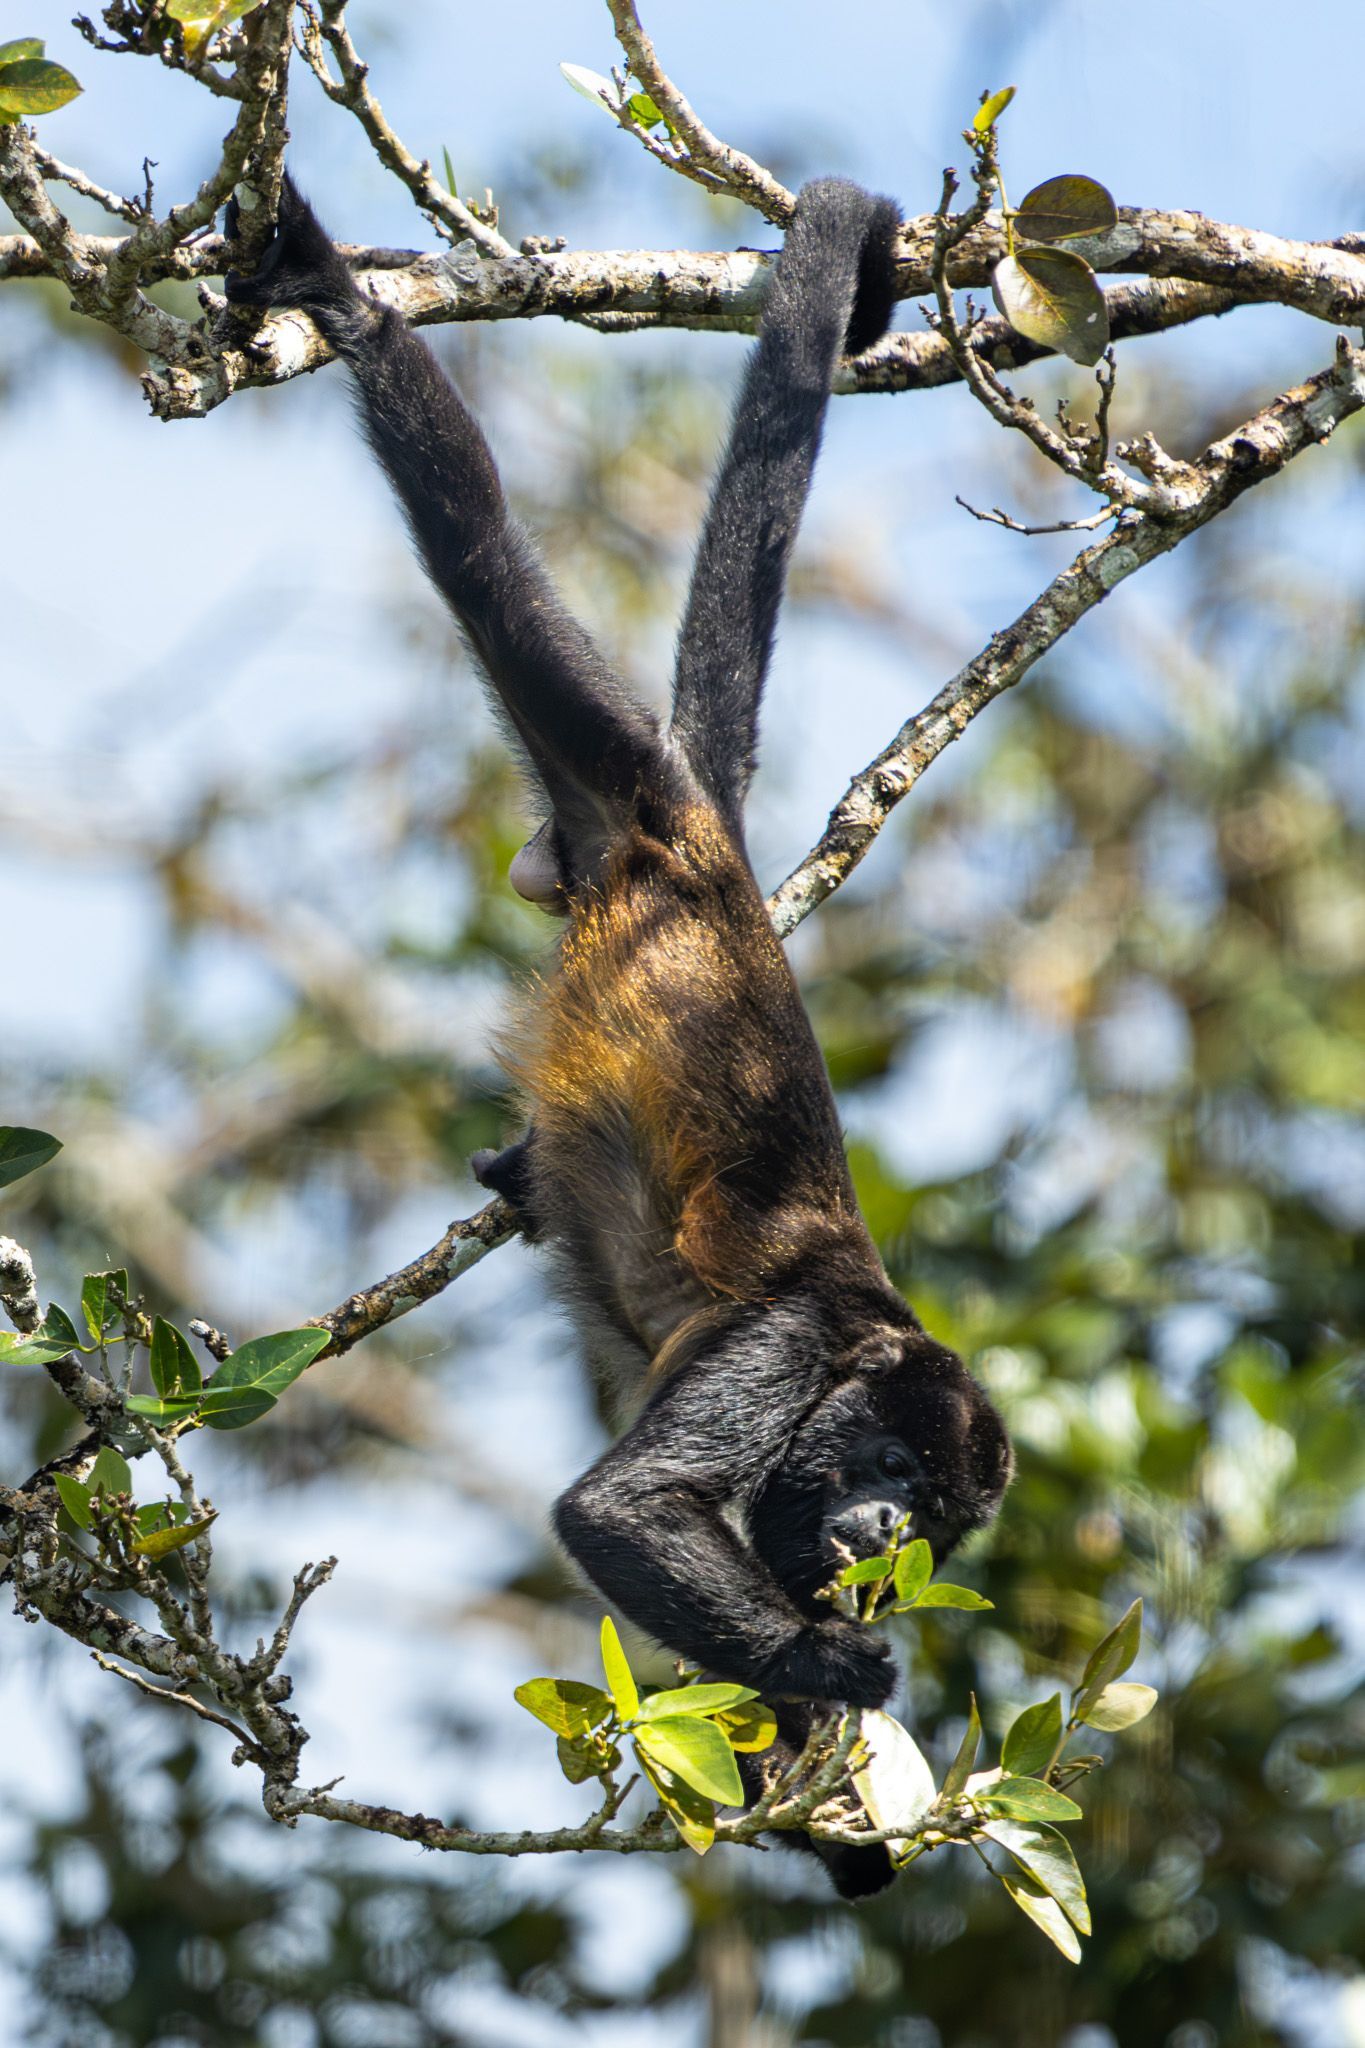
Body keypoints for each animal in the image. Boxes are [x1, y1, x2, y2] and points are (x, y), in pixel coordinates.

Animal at [226, 174, 1011, 1897]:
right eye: (894, 1479)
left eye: (935, 1528)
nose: (879, 1546)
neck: (865, 1345)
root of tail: (700, 842)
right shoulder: (787, 1350)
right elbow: (624, 1512)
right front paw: (841, 1667)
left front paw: (843, 1804)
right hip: (610, 769)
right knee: (473, 535)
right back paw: (343, 293)